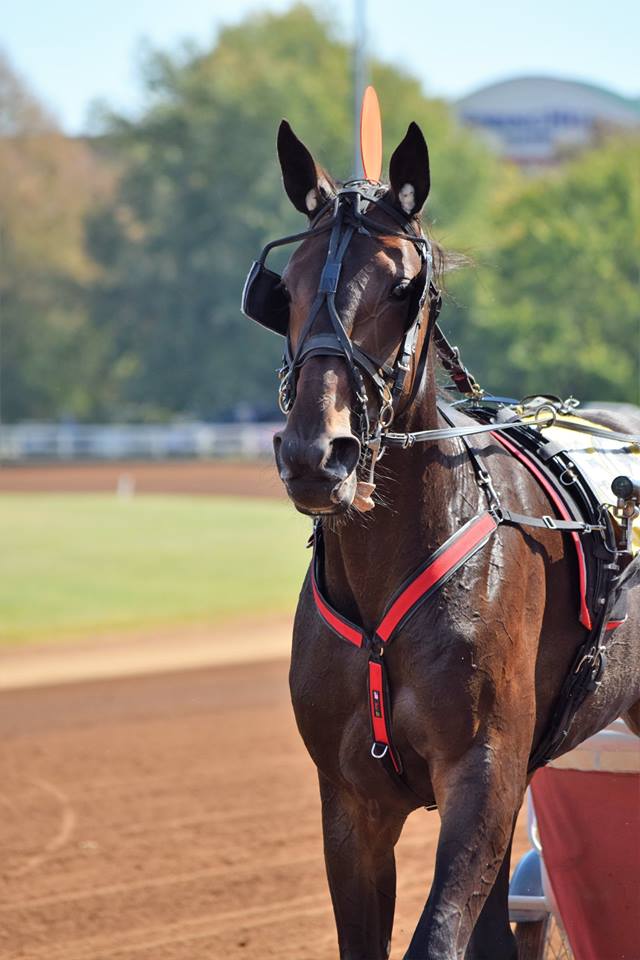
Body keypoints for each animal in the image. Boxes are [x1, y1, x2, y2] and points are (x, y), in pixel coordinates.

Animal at [246, 118, 640, 959]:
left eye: (404, 288)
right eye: (284, 289)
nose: (316, 455)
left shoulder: (483, 775)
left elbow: (437, 939)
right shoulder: (352, 805)